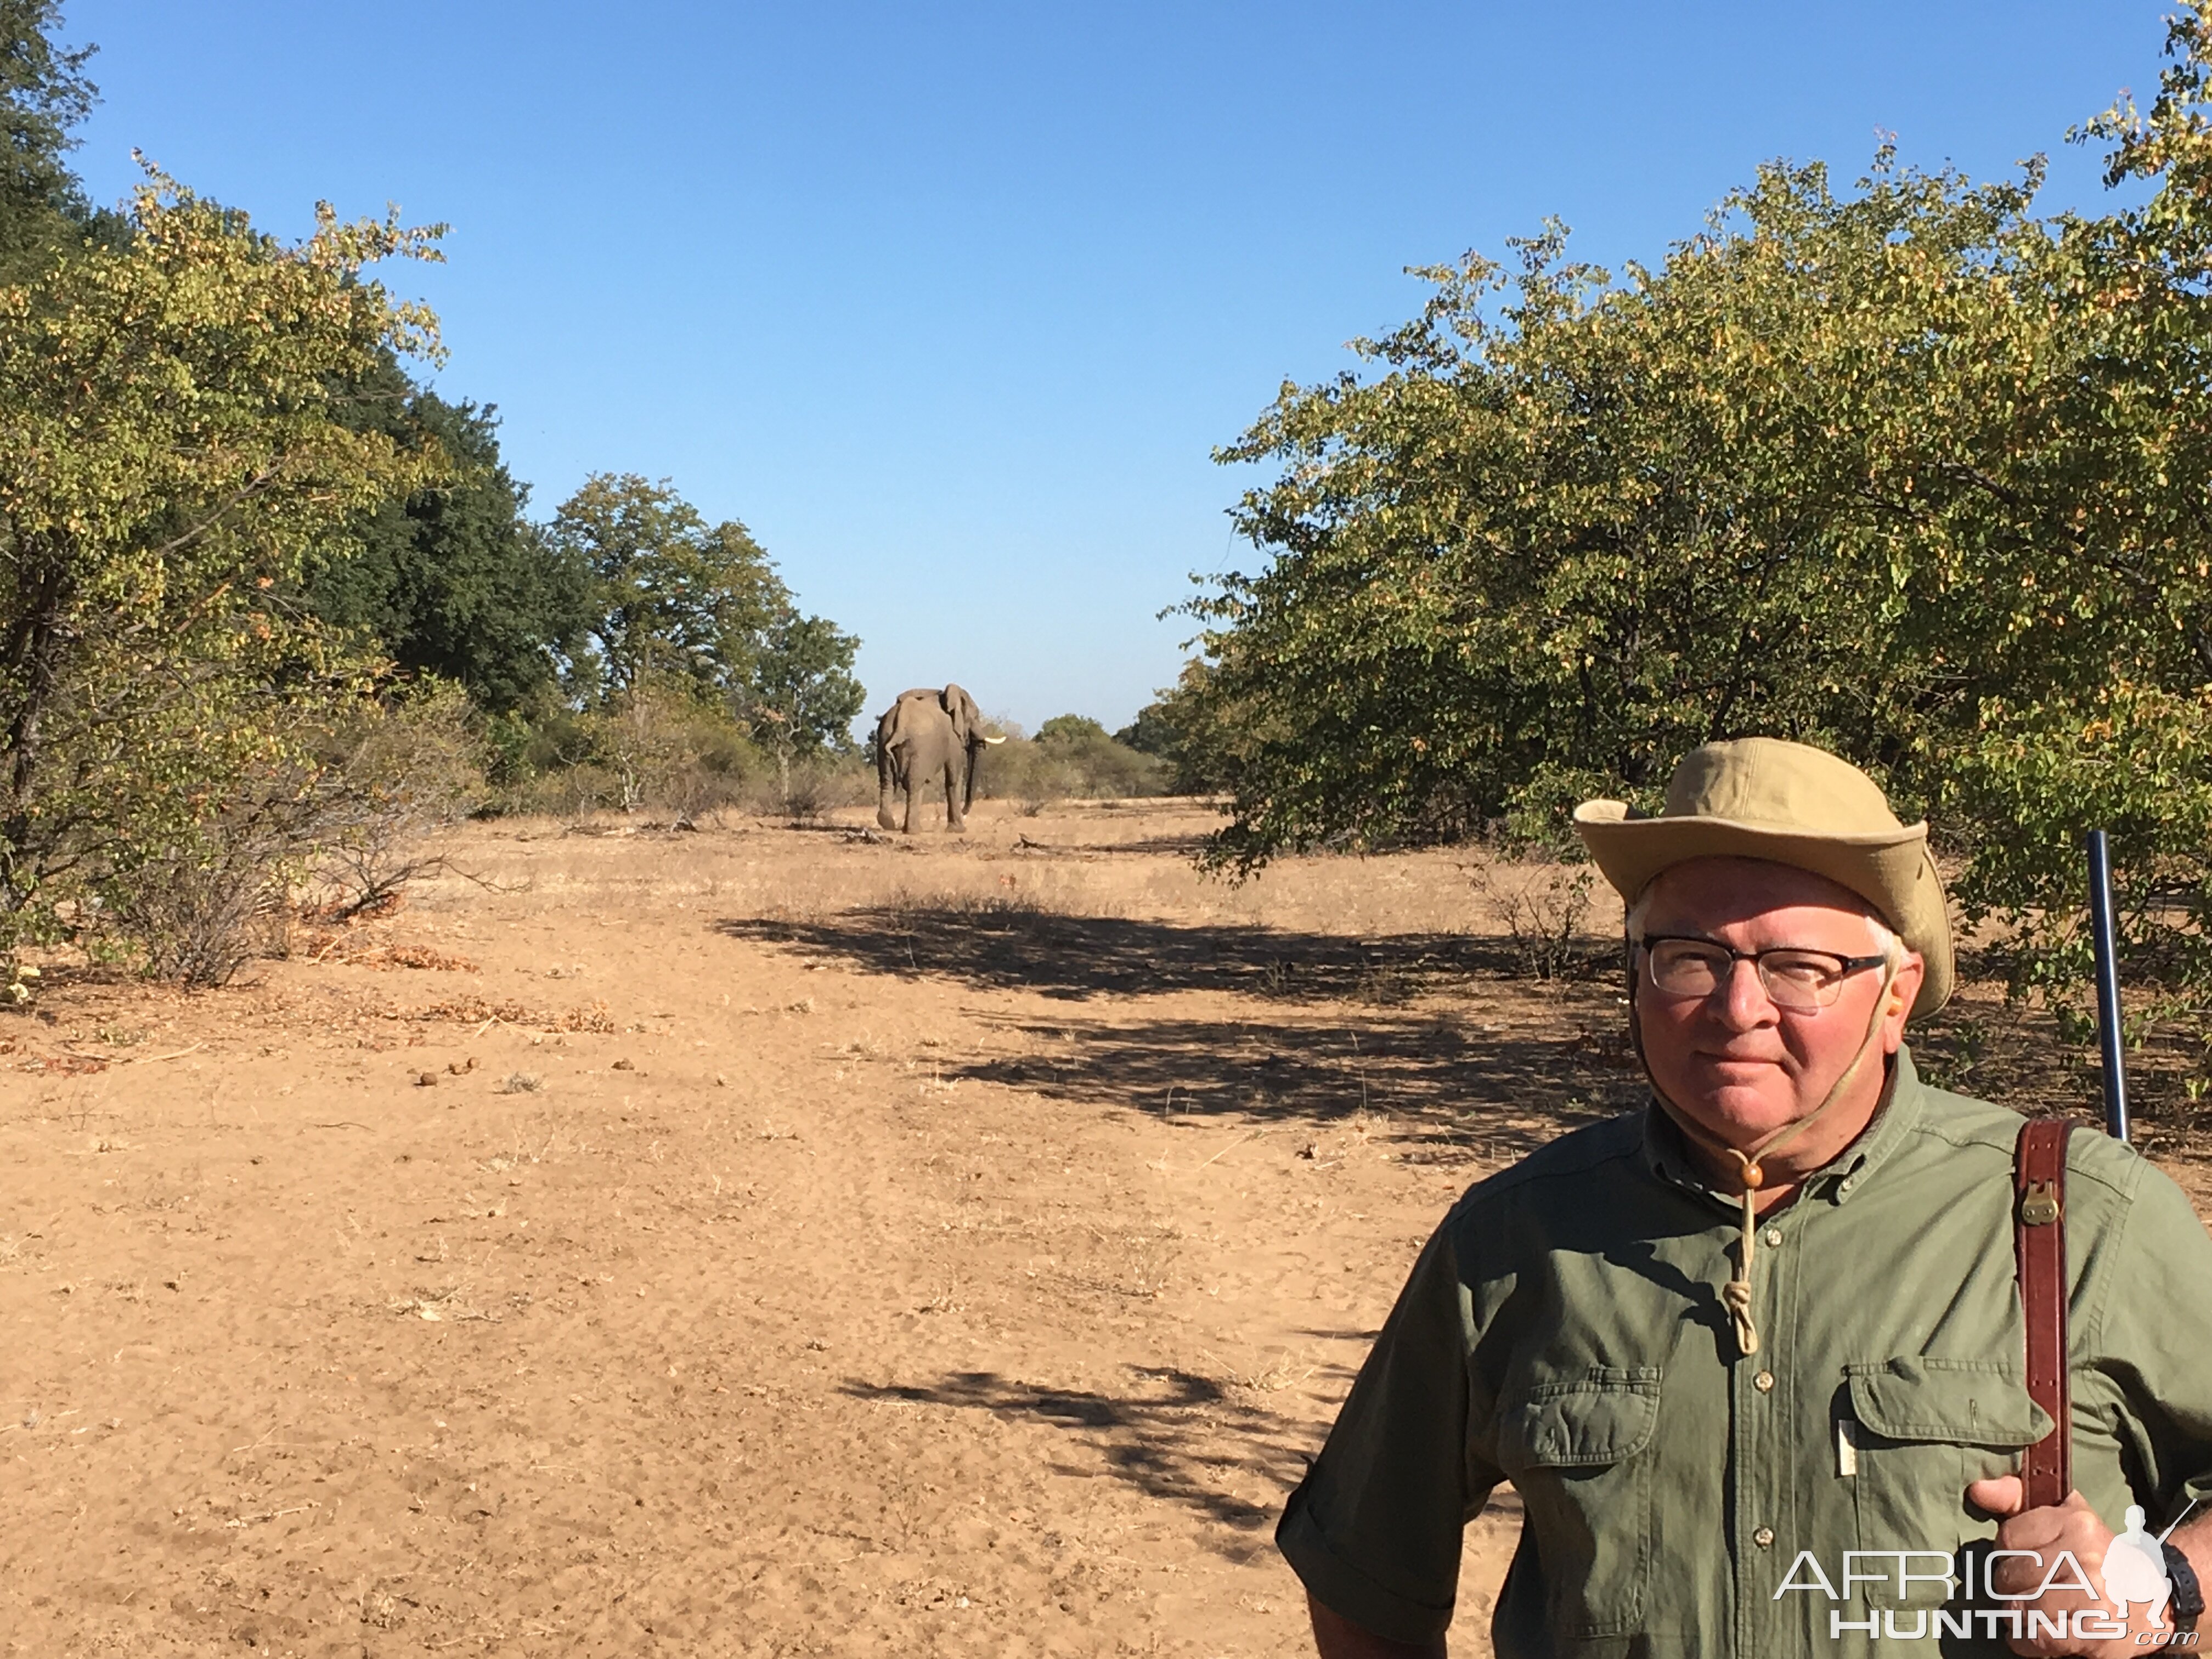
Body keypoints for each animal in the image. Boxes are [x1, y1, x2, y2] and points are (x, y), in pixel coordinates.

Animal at [871, 681, 1004, 832]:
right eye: (976, 717)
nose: (964, 812)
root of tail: (900, 725)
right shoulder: (953, 737)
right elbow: (954, 777)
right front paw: (958, 831)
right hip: (919, 747)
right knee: (914, 783)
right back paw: (914, 831)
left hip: (883, 740)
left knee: (888, 781)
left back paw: (889, 825)